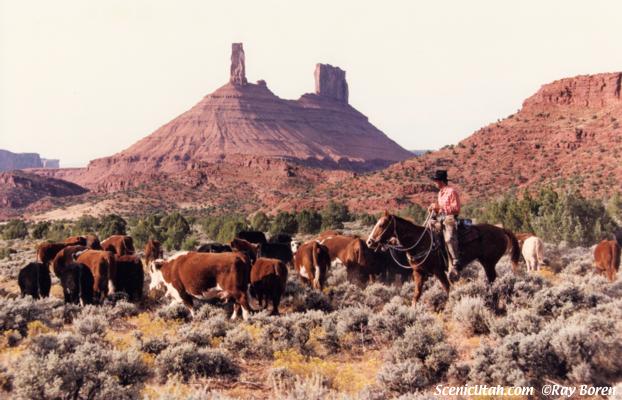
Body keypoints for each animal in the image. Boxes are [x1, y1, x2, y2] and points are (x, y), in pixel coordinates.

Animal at [366, 212, 520, 306]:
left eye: (381, 225)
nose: (369, 242)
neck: (421, 242)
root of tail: (501, 230)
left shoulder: (438, 271)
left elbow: (447, 288)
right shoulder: (418, 272)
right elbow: (416, 294)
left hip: (489, 262)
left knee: (492, 279)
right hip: (487, 263)